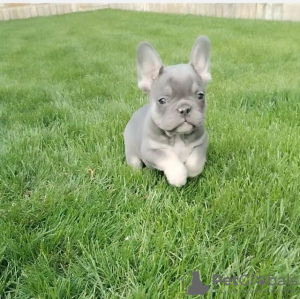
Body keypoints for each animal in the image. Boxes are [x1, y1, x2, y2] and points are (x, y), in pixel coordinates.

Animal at [123, 34, 211, 185]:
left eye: (200, 95)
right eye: (162, 101)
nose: (184, 109)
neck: (178, 136)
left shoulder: (201, 142)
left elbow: (195, 161)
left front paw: (190, 171)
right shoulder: (151, 150)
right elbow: (167, 157)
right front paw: (178, 176)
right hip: (132, 152)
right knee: (135, 164)